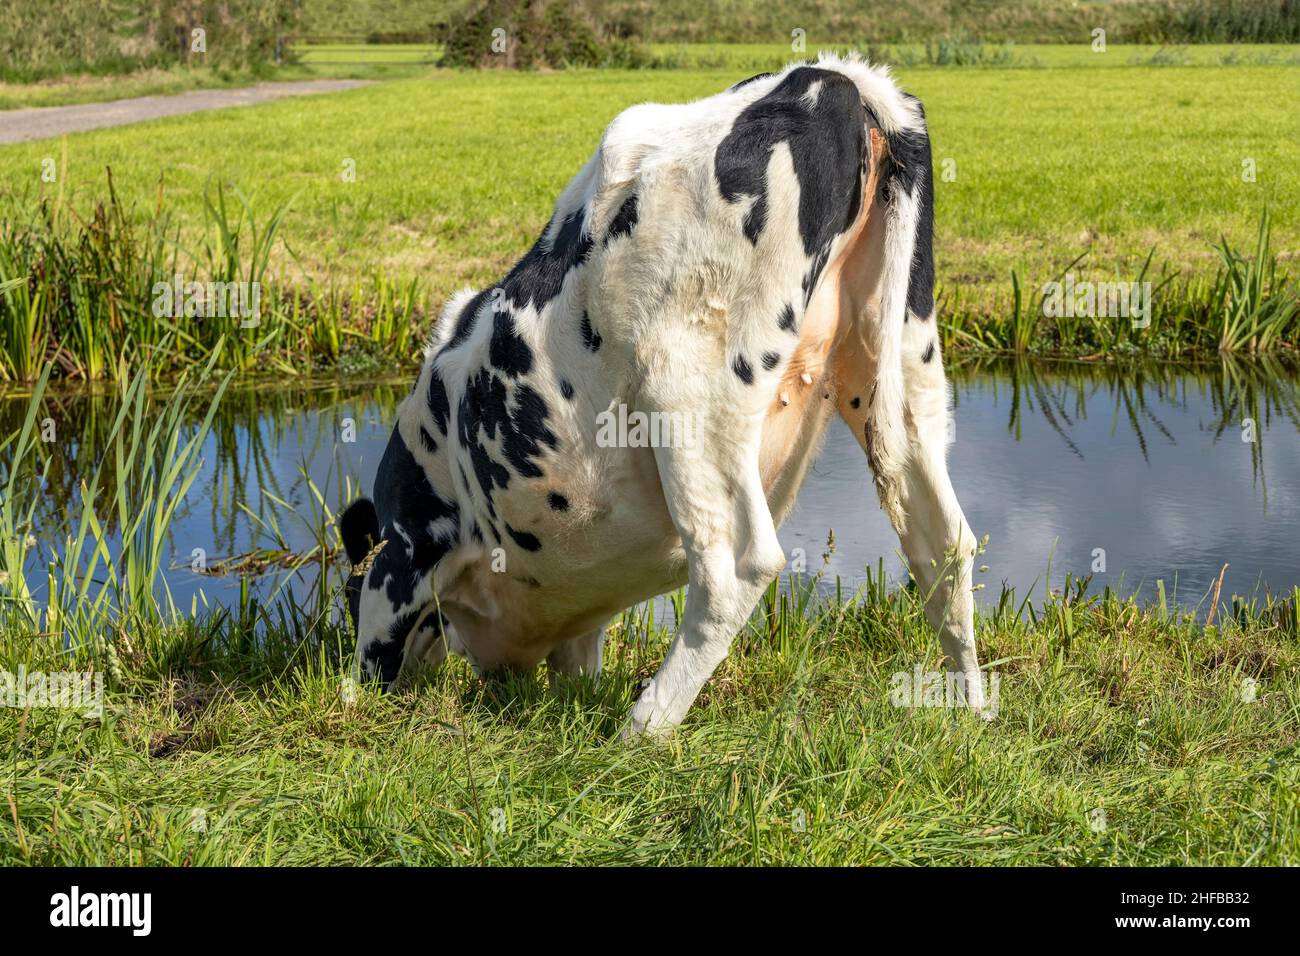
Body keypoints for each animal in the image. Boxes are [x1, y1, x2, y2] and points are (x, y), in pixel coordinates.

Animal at [335, 52, 982, 738]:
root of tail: (834, 76)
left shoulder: (406, 550)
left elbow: (377, 643)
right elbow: (578, 658)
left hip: (688, 385)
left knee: (738, 565)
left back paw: (639, 731)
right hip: (903, 357)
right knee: (943, 541)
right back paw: (971, 708)